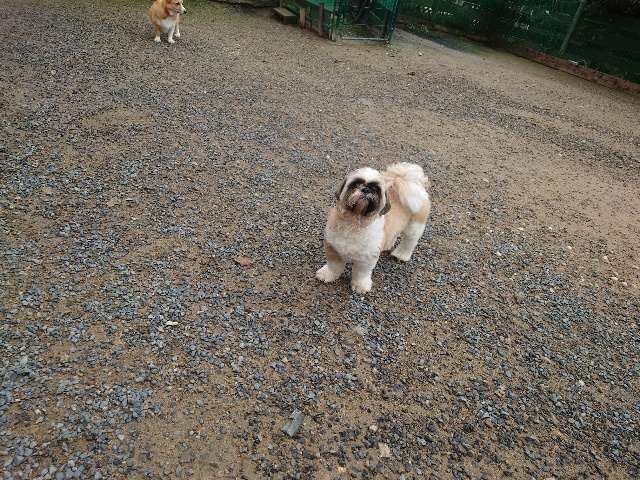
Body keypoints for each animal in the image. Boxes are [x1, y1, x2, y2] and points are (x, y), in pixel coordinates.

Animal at [316, 162, 431, 294]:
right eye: (356, 184)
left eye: (376, 189)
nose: (366, 189)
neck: (355, 221)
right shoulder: (333, 249)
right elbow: (333, 267)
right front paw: (327, 274)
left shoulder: (366, 259)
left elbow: (361, 274)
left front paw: (360, 286)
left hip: (414, 227)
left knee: (409, 242)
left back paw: (401, 255)